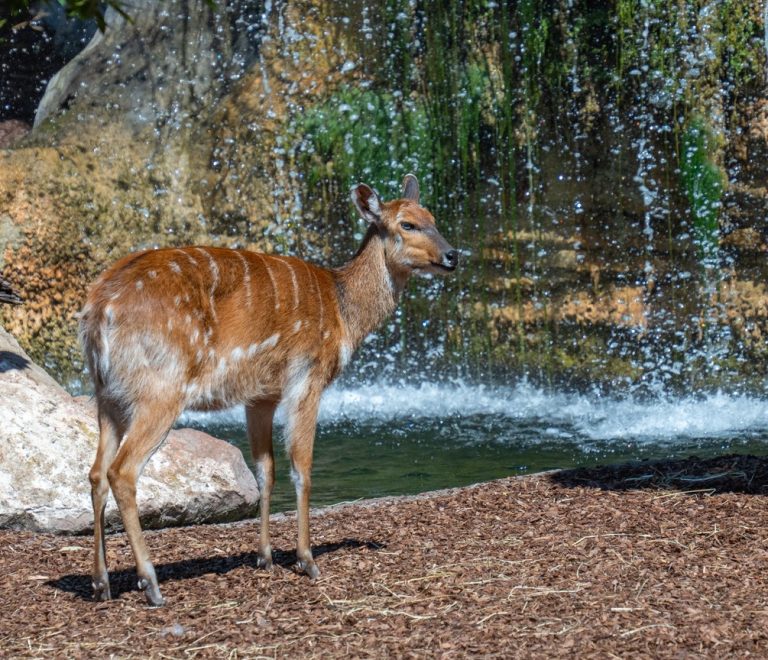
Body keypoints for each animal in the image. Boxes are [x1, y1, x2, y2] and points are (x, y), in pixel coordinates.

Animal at [80, 174, 458, 606]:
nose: (453, 255)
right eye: (407, 224)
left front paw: (264, 557)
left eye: (433, 218)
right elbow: (302, 468)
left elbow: (266, 470)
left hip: (107, 393)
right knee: (121, 471)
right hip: (160, 387)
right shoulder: (307, 375)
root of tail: (99, 310)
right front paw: (306, 560)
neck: (344, 315)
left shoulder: (260, 395)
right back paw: (151, 583)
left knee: (95, 472)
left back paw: (101, 583)